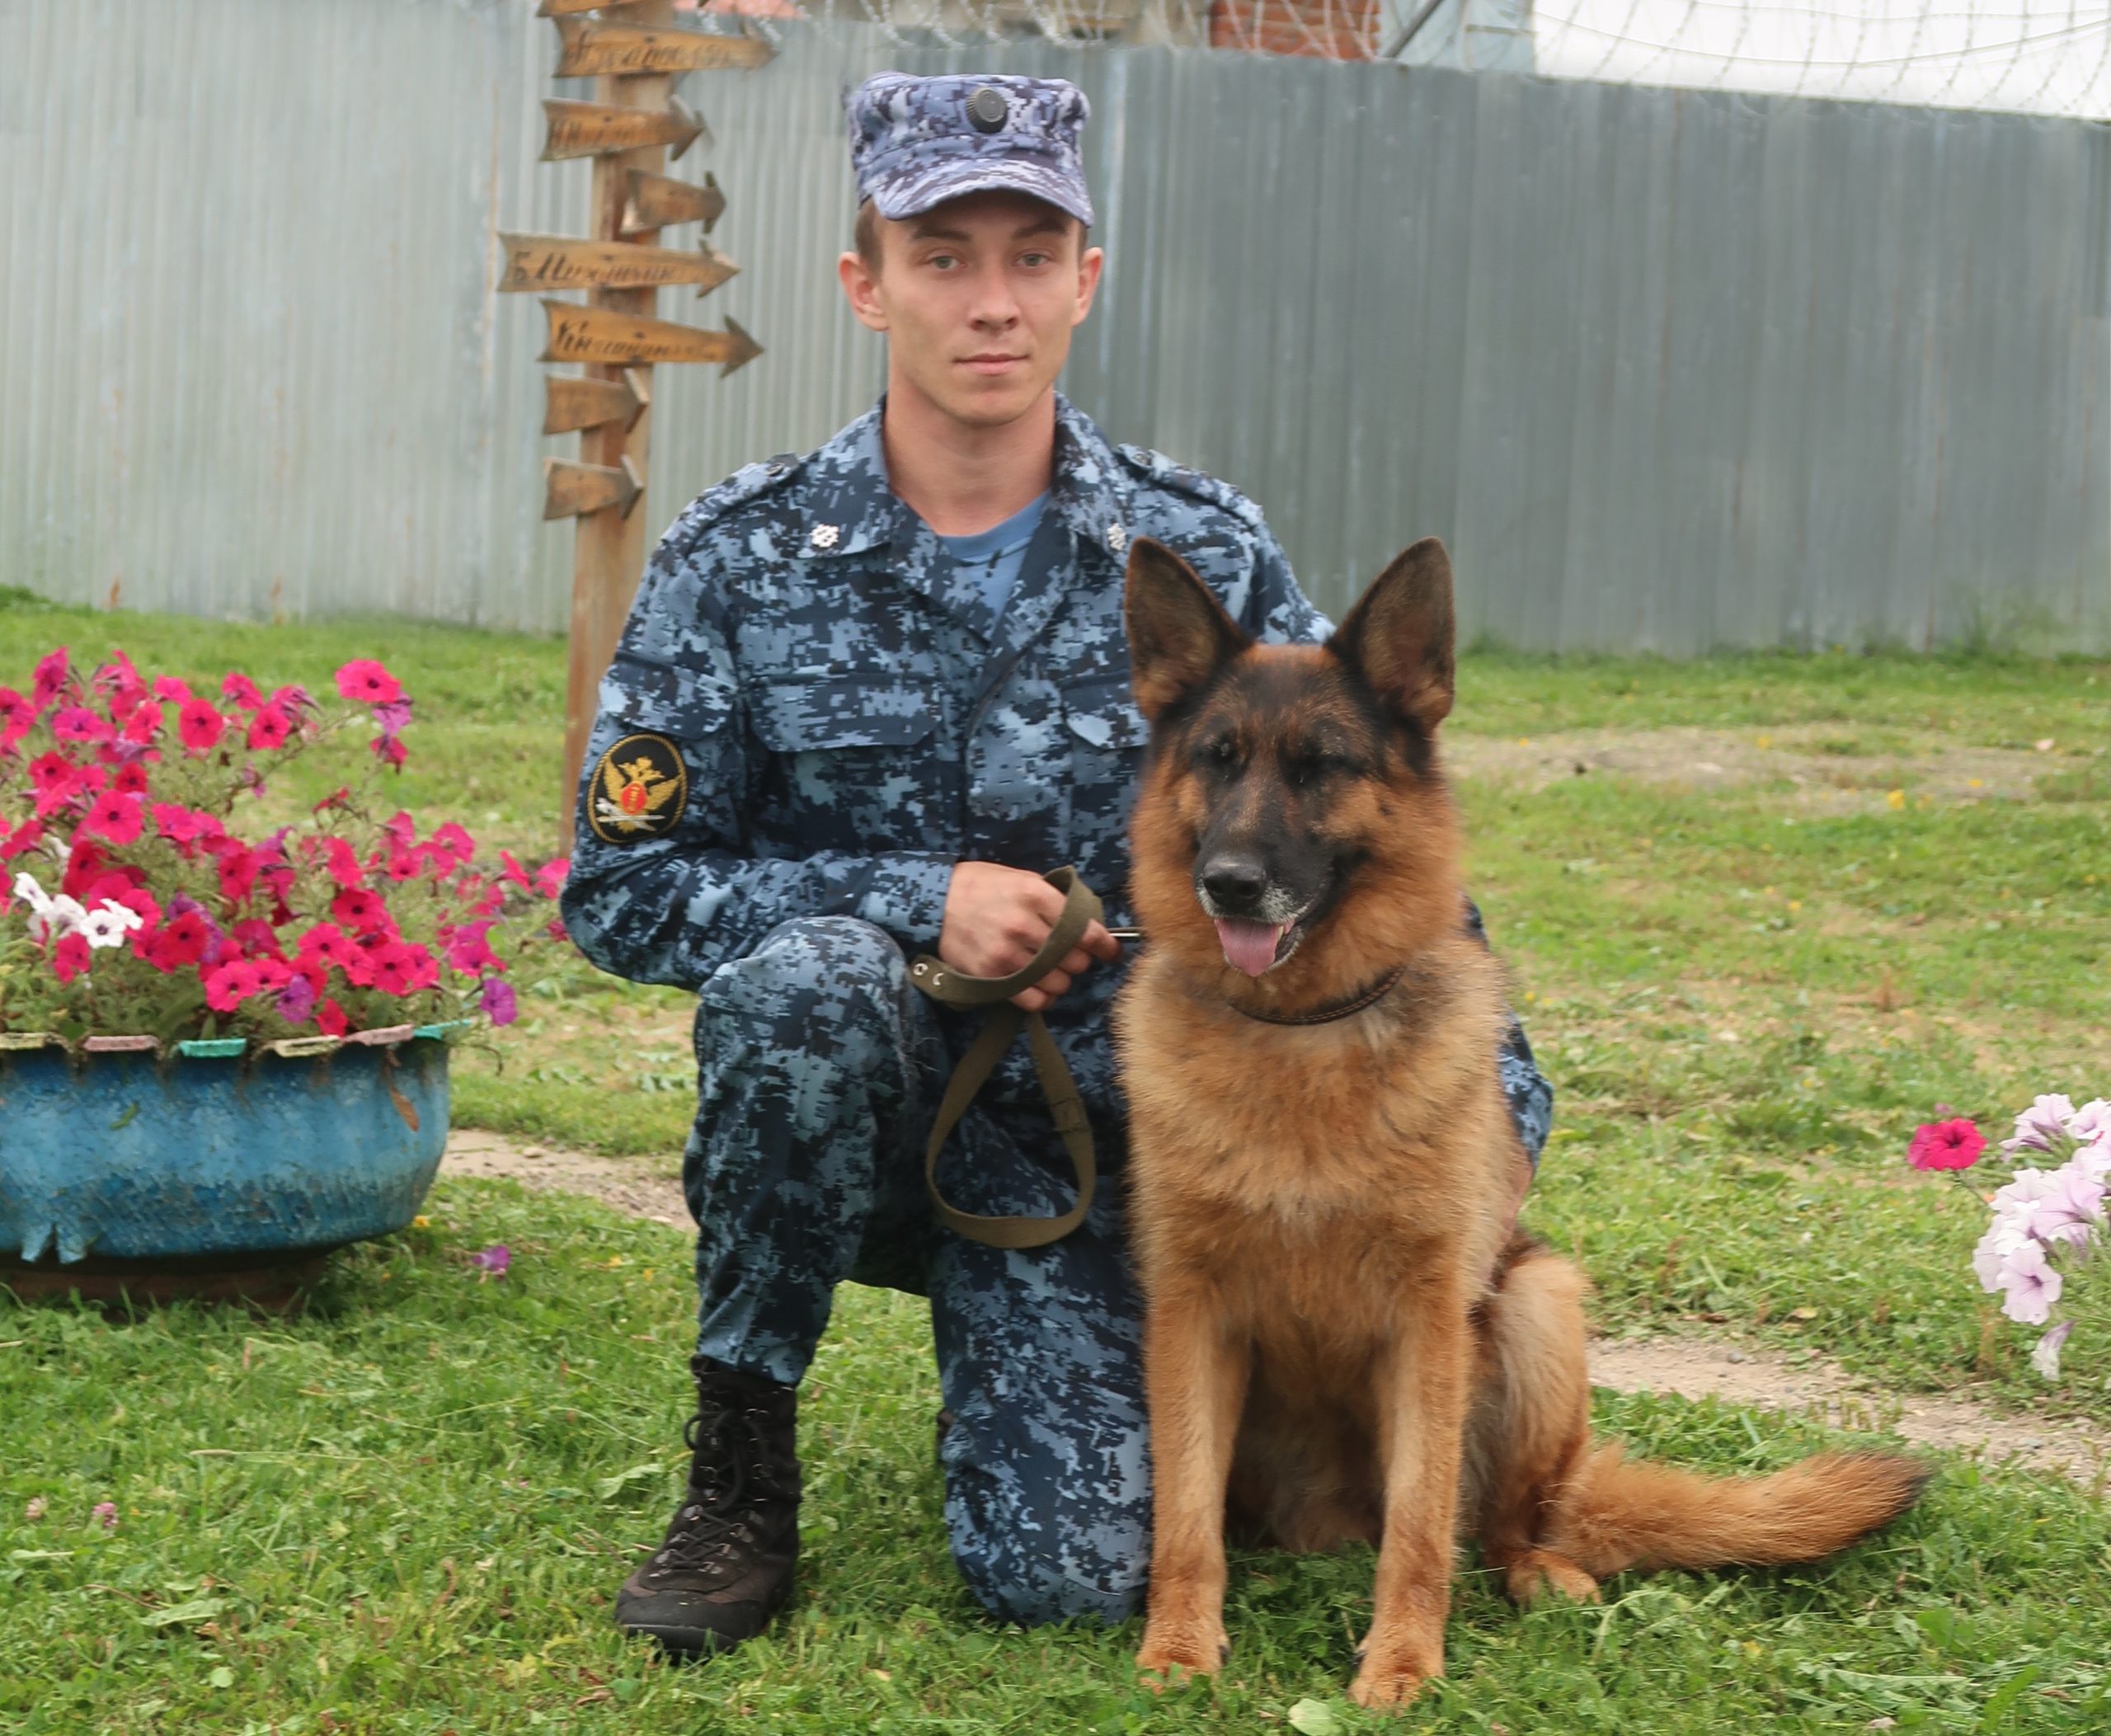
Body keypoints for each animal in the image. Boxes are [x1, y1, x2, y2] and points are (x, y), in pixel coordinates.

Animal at [1122, 536, 1933, 1706]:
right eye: (1218, 759)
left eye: (1321, 764)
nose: (1228, 883)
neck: (1302, 1036)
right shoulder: (1190, 1316)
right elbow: (1184, 1518)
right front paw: (1179, 1647)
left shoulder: (1428, 1325)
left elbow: (1419, 1531)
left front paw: (1403, 1663)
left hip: (1536, 1305)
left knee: (1502, 1523)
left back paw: (1539, 1570)